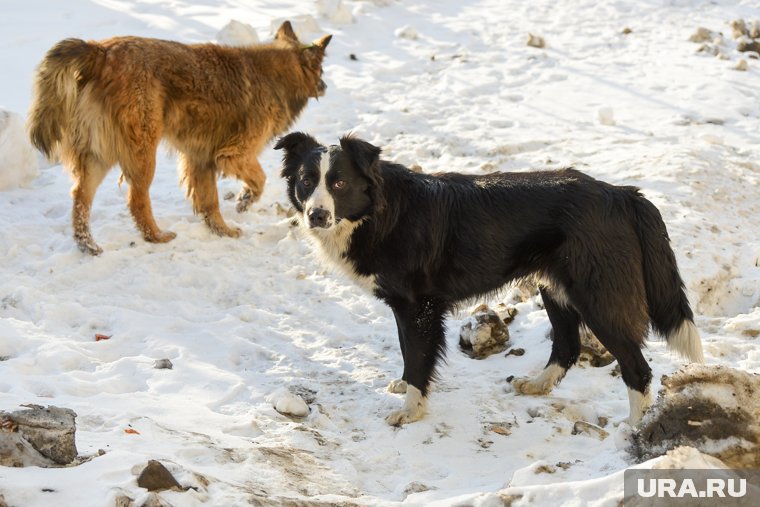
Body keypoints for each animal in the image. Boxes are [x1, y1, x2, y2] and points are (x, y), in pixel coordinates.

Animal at [28, 22, 332, 256]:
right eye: (321, 70)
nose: (326, 86)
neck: (276, 75)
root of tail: (100, 51)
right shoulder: (234, 154)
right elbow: (259, 179)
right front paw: (245, 200)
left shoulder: (201, 160)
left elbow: (210, 203)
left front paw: (222, 230)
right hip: (142, 152)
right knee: (136, 200)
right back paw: (156, 236)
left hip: (98, 156)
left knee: (81, 198)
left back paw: (87, 245)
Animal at [276, 133, 704, 426]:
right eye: (306, 181)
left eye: (339, 184)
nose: (316, 215)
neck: (378, 213)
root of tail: (623, 193)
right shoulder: (406, 307)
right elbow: (407, 352)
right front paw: (403, 385)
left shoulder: (419, 307)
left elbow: (418, 357)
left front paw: (411, 410)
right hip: (556, 287)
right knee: (567, 346)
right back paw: (538, 385)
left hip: (598, 296)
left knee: (637, 368)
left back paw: (634, 428)